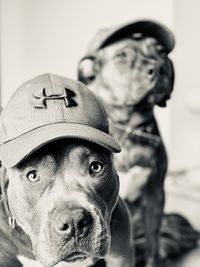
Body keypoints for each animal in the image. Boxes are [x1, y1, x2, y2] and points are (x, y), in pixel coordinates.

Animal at [78, 19, 175, 266]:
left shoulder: (155, 195)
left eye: (161, 52)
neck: (129, 128)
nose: (159, 68)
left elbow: (152, 242)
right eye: (121, 55)